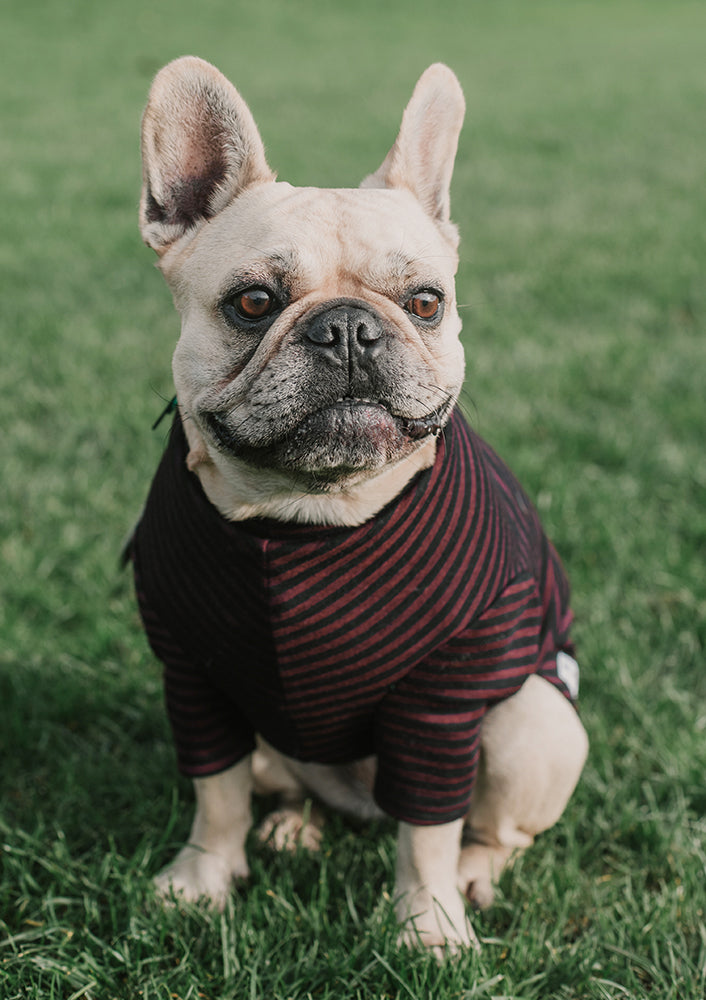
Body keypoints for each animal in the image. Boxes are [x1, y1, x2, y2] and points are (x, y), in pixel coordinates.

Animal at [128, 56, 588, 952]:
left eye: (425, 303)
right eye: (253, 303)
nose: (346, 328)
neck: (308, 515)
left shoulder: (445, 700)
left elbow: (431, 826)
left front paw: (429, 925)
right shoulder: (193, 676)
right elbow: (215, 790)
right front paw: (201, 880)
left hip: (531, 720)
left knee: (489, 827)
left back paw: (473, 874)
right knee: (279, 784)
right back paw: (294, 826)